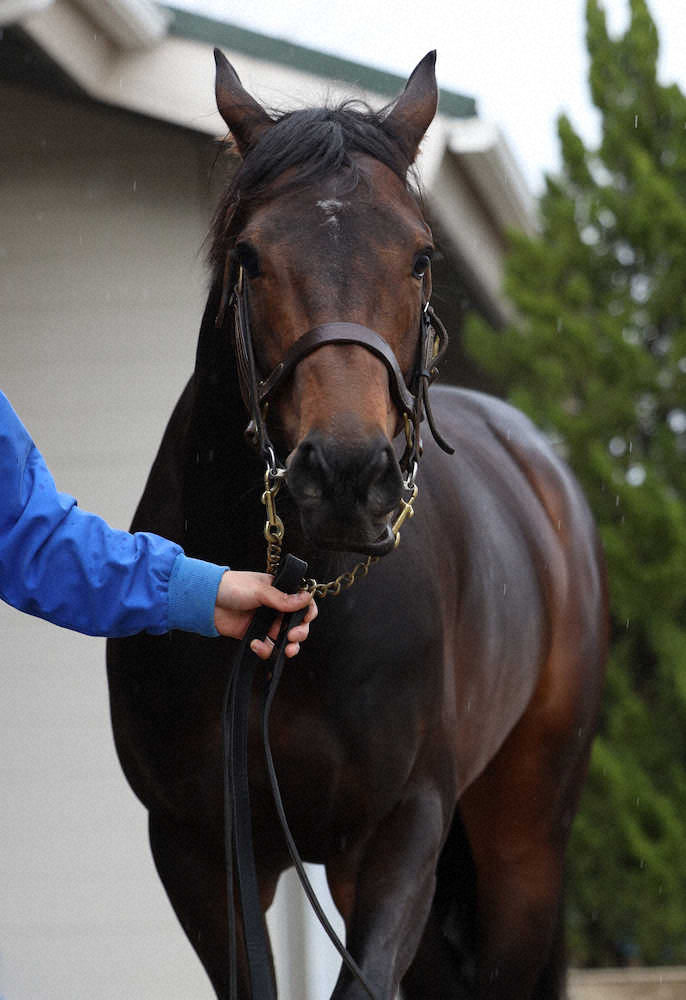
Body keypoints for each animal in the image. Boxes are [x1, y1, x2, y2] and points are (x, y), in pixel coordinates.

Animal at [105, 50, 612, 996]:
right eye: (250, 256)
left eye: (420, 256)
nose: (344, 476)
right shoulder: (200, 848)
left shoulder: (399, 834)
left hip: (523, 847)